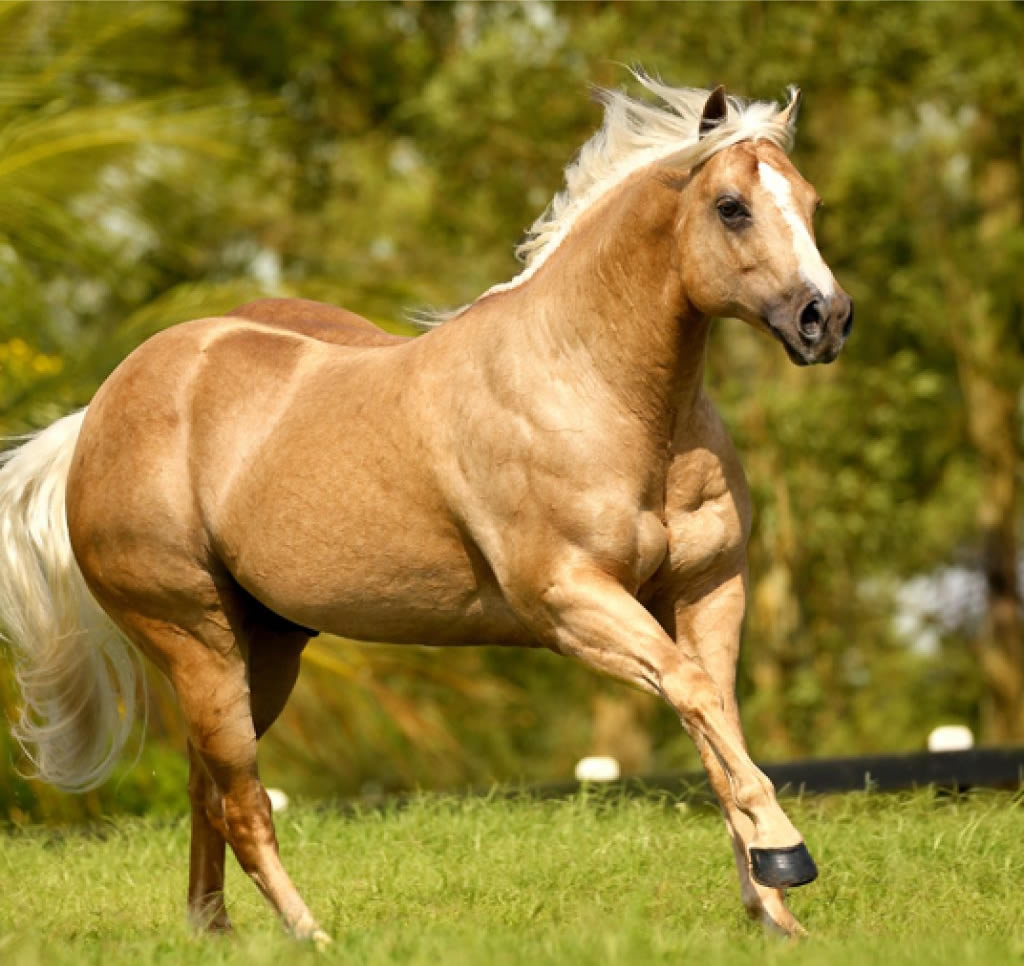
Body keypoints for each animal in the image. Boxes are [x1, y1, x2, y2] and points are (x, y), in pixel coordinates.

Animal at [0, 79, 847, 942]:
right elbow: (698, 698)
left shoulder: (708, 591)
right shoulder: (570, 603)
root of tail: (96, 415)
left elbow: (715, 720)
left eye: (811, 201)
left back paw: (215, 933)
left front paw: (774, 910)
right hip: (195, 640)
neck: (594, 387)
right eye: (732, 206)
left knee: (208, 793)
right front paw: (787, 856)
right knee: (241, 802)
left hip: (262, 651)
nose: (826, 319)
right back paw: (313, 936)